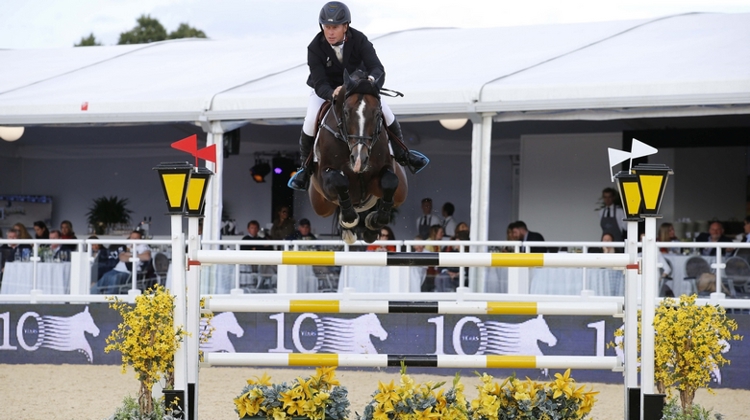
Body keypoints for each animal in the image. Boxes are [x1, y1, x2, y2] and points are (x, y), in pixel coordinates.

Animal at [308, 70, 408, 244]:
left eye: (377, 113)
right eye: (346, 112)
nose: (359, 160)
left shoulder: (379, 176)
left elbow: (390, 181)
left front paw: (374, 222)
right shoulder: (325, 181)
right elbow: (339, 181)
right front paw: (349, 219)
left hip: (401, 193)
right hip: (321, 204)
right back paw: (348, 227)